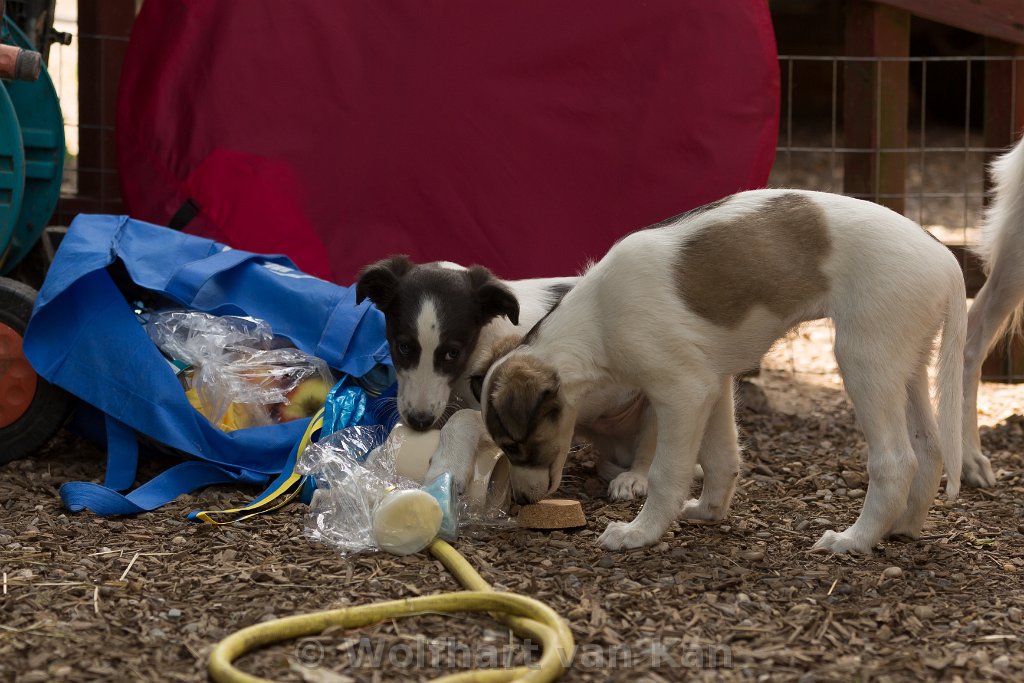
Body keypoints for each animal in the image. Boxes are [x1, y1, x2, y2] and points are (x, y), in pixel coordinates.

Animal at [479, 189, 966, 552]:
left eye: (515, 444)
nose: (520, 500)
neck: (597, 321)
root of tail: (945, 257)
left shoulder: (683, 391)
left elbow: (666, 471)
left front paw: (639, 533)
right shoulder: (712, 383)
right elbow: (720, 458)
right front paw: (708, 513)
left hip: (865, 358)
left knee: (896, 461)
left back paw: (854, 540)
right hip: (908, 363)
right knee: (930, 447)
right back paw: (902, 527)